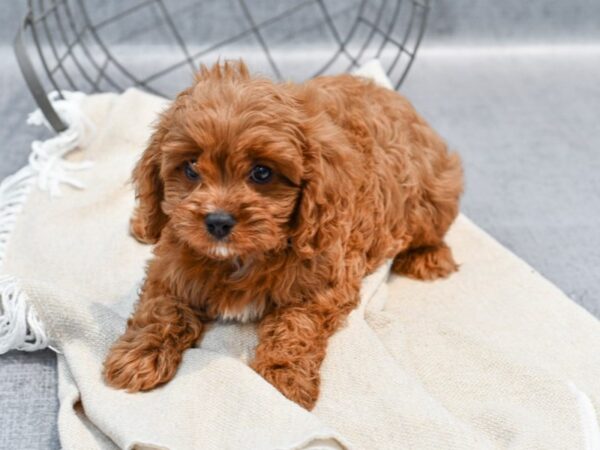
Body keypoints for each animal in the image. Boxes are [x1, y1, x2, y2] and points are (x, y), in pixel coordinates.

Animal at [103, 61, 462, 410]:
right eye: (191, 167)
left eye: (262, 172)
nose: (218, 222)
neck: (240, 259)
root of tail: (396, 97)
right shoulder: (169, 267)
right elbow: (160, 310)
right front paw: (138, 357)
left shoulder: (323, 281)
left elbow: (296, 326)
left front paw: (285, 379)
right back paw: (142, 222)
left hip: (430, 201)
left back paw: (430, 257)